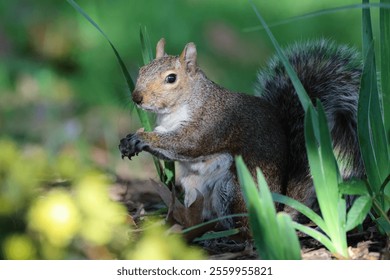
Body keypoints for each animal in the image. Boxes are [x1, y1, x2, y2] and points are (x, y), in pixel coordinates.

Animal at [119, 37, 366, 230]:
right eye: (141, 70)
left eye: (171, 78)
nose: (136, 97)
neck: (173, 111)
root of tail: (275, 210)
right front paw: (129, 141)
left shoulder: (210, 124)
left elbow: (185, 143)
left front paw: (142, 139)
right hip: (194, 189)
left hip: (233, 189)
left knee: (243, 223)